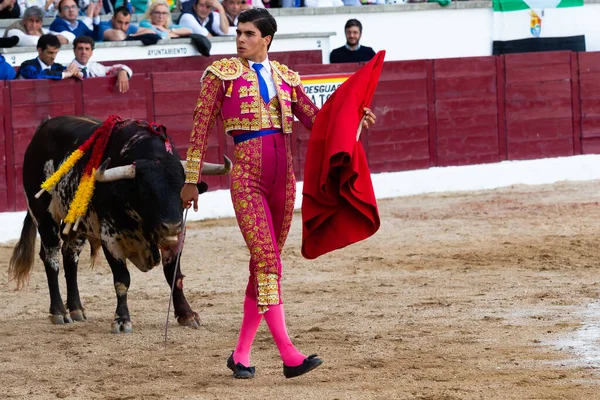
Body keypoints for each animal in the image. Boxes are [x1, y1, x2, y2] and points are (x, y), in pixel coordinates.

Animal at [8, 116, 231, 334]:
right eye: (145, 192)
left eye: (182, 191)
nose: (170, 226)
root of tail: (43, 125)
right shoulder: (110, 237)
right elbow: (122, 279)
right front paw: (122, 320)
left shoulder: (177, 237)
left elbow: (174, 275)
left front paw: (187, 314)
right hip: (44, 215)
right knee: (51, 257)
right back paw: (59, 312)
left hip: (77, 224)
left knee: (70, 256)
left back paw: (77, 309)